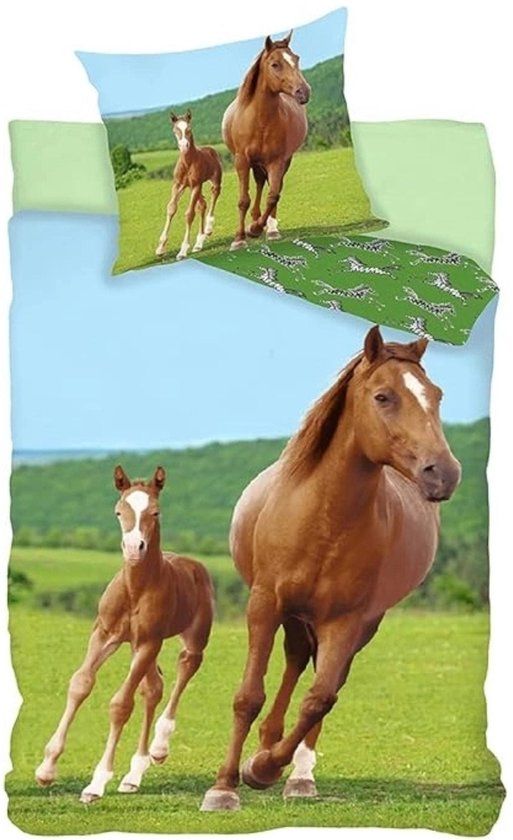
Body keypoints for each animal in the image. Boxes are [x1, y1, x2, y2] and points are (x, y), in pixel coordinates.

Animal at [35, 465, 214, 803]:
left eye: (155, 512)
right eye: (119, 511)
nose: (134, 548)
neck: (135, 591)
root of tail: (194, 565)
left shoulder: (148, 642)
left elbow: (120, 705)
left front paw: (96, 783)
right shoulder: (105, 634)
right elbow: (80, 684)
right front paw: (47, 768)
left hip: (189, 638)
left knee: (185, 668)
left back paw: (158, 748)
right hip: (135, 646)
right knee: (153, 688)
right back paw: (134, 774)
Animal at [155, 110, 222, 260]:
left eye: (189, 128)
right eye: (175, 130)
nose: (184, 145)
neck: (188, 163)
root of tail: (211, 150)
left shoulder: (196, 185)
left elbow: (189, 214)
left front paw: (183, 250)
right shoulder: (178, 185)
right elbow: (171, 208)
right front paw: (160, 248)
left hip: (213, 181)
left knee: (214, 195)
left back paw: (208, 229)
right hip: (195, 188)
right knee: (202, 205)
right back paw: (199, 243)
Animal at [201, 326, 461, 811]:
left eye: (436, 395)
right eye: (383, 397)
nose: (443, 473)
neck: (322, 519)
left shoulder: (346, 620)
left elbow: (319, 698)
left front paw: (265, 768)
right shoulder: (264, 605)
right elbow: (248, 695)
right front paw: (224, 785)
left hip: (356, 625)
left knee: (322, 680)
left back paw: (295, 773)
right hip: (292, 615)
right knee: (294, 660)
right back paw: (265, 745)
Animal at [222, 30, 311, 251]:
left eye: (296, 58)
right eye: (275, 64)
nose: (303, 92)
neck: (259, 120)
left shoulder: (277, 161)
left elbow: (273, 196)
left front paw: (256, 229)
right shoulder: (242, 161)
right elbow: (243, 200)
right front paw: (239, 238)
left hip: (282, 161)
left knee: (272, 187)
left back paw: (270, 228)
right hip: (255, 163)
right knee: (260, 183)